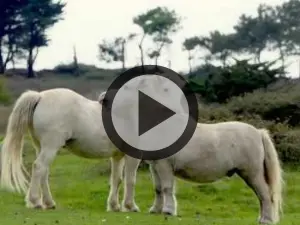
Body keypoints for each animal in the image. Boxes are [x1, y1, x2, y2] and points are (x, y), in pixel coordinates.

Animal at [0, 87, 141, 212]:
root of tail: (40, 96)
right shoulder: (132, 157)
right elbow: (130, 180)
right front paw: (130, 206)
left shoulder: (117, 156)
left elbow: (117, 179)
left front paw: (114, 206)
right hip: (50, 146)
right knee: (39, 167)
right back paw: (35, 202)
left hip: (40, 147)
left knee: (43, 171)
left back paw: (48, 203)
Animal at [148, 122, 284, 224]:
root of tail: (258, 132)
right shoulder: (155, 166)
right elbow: (158, 189)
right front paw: (155, 210)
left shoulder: (164, 166)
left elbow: (167, 188)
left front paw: (168, 211)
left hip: (253, 174)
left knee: (265, 195)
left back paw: (266, 220)